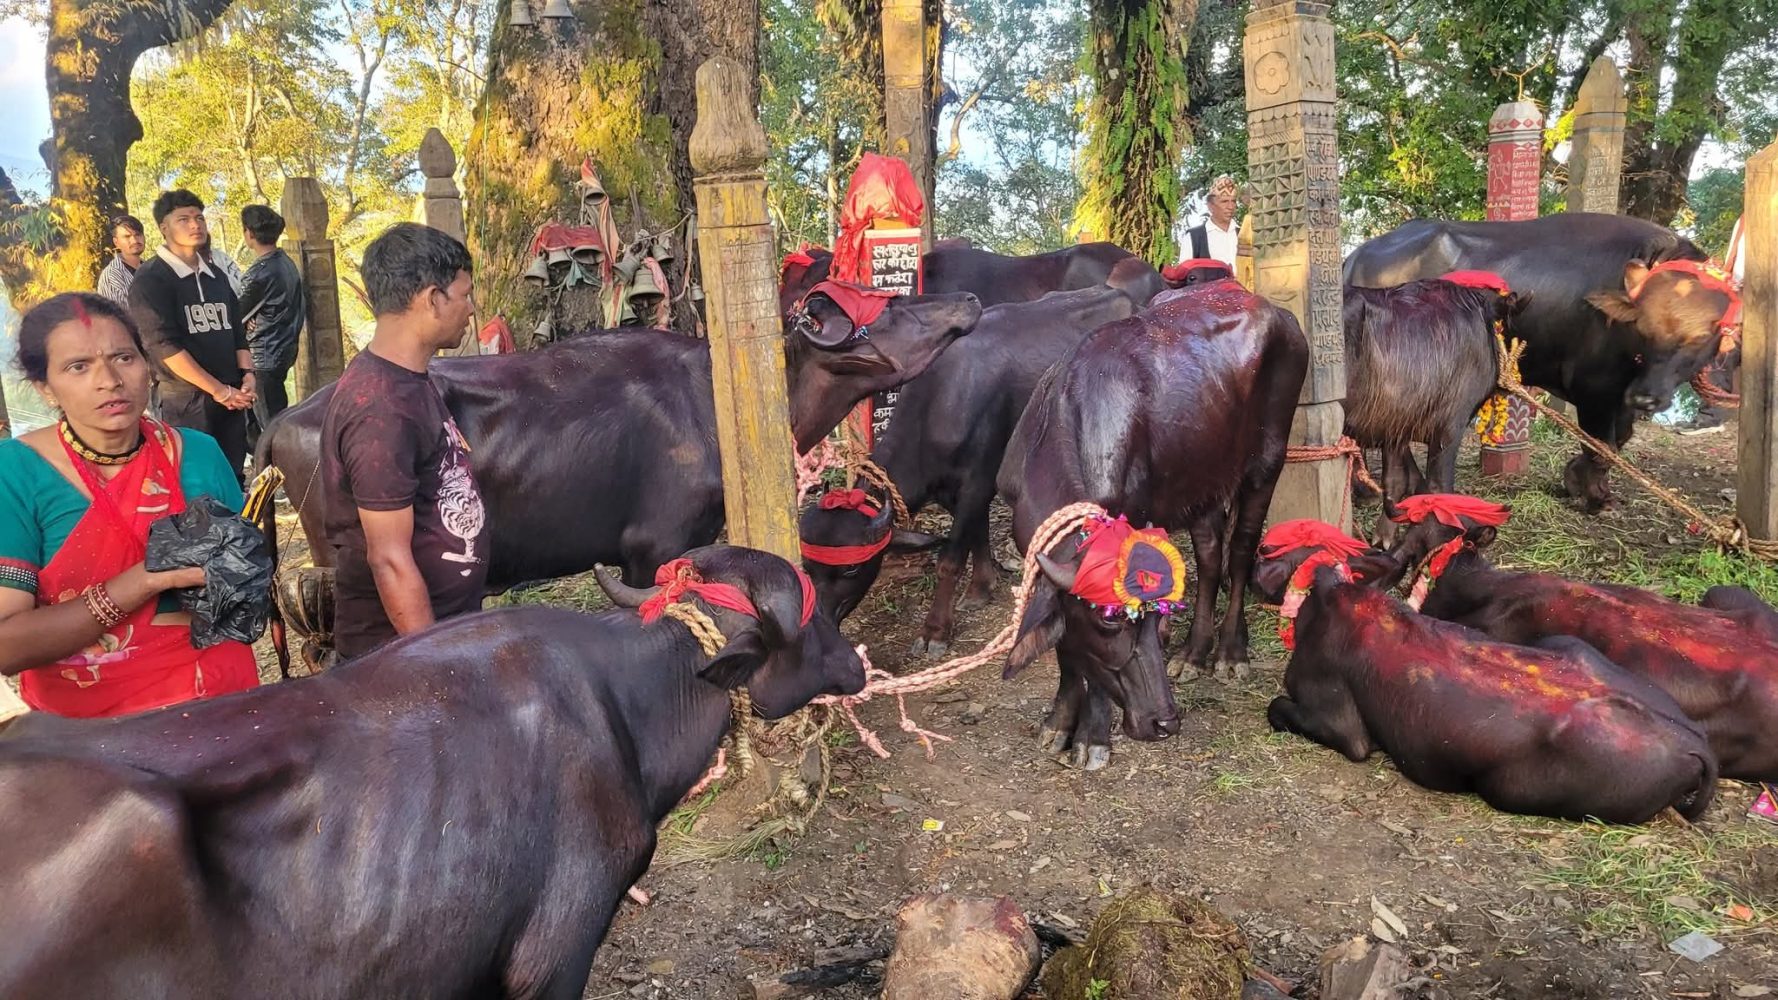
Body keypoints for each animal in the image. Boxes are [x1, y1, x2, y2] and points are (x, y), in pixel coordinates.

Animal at [797, 279, 1152, 653]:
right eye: (809, 566)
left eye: (850, 570)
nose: (818, 618)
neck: (938, 405)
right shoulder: (956, 490)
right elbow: (977, 531)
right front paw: (981, 587)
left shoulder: (977, 480)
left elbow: (950, 558)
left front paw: (935, 630)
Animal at [993, 276, 1308, 769]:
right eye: (1108, 620)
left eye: (1154, 616)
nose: (1165, 722)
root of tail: (1278, 314)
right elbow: (1068, 646)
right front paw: (1059, 723)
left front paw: (1092, 737)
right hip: (1202, 483)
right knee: (1211, 555)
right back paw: (1194, 653)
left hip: (1267, 461)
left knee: (1240, 551)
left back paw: (1230, 653)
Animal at [1344, 213, 1735, 511]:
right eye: (1643, 323)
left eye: (1702, 334)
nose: (1647, 398)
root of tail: (1356, 256)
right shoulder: (1595, 388)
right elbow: (1602, 446)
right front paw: (1592, 495)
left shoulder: (1622, 393)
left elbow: (1619, 439)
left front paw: (1582, 482)